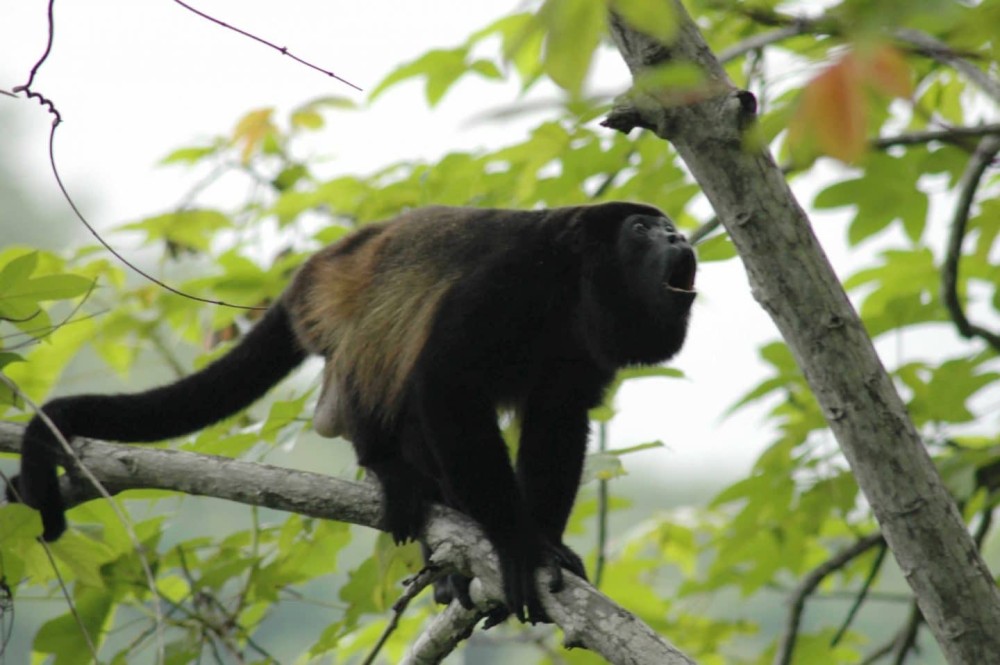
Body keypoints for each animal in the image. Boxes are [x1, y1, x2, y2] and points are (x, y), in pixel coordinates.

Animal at [7, 202, 697, 624]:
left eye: (666, 226)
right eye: (641, 228)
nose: (679, 235)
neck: (575, 286)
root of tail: (309, 273)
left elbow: (558, 415)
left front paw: (547, 543)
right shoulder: (514, 279)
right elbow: (445, 383)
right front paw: (516, 543)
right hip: (338, 320)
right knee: (387, 369)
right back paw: (391, 469)